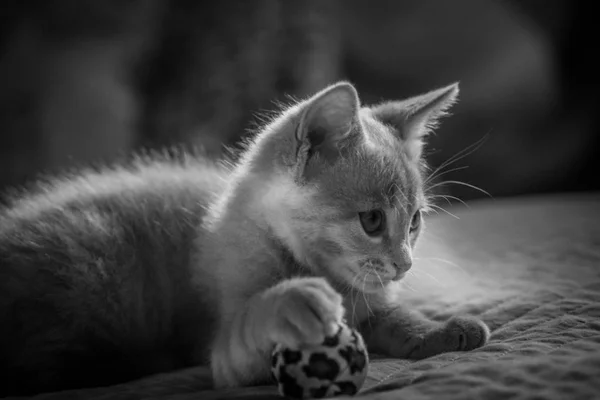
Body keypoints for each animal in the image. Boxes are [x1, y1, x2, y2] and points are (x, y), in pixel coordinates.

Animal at [0, 82, 488, 396]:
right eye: (371, 220)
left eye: (415, 221)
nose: (405, 264)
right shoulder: (228, 356)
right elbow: (248, 327)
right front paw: (290, 302)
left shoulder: (373, 302)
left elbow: (395, 316)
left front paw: (439, 328)